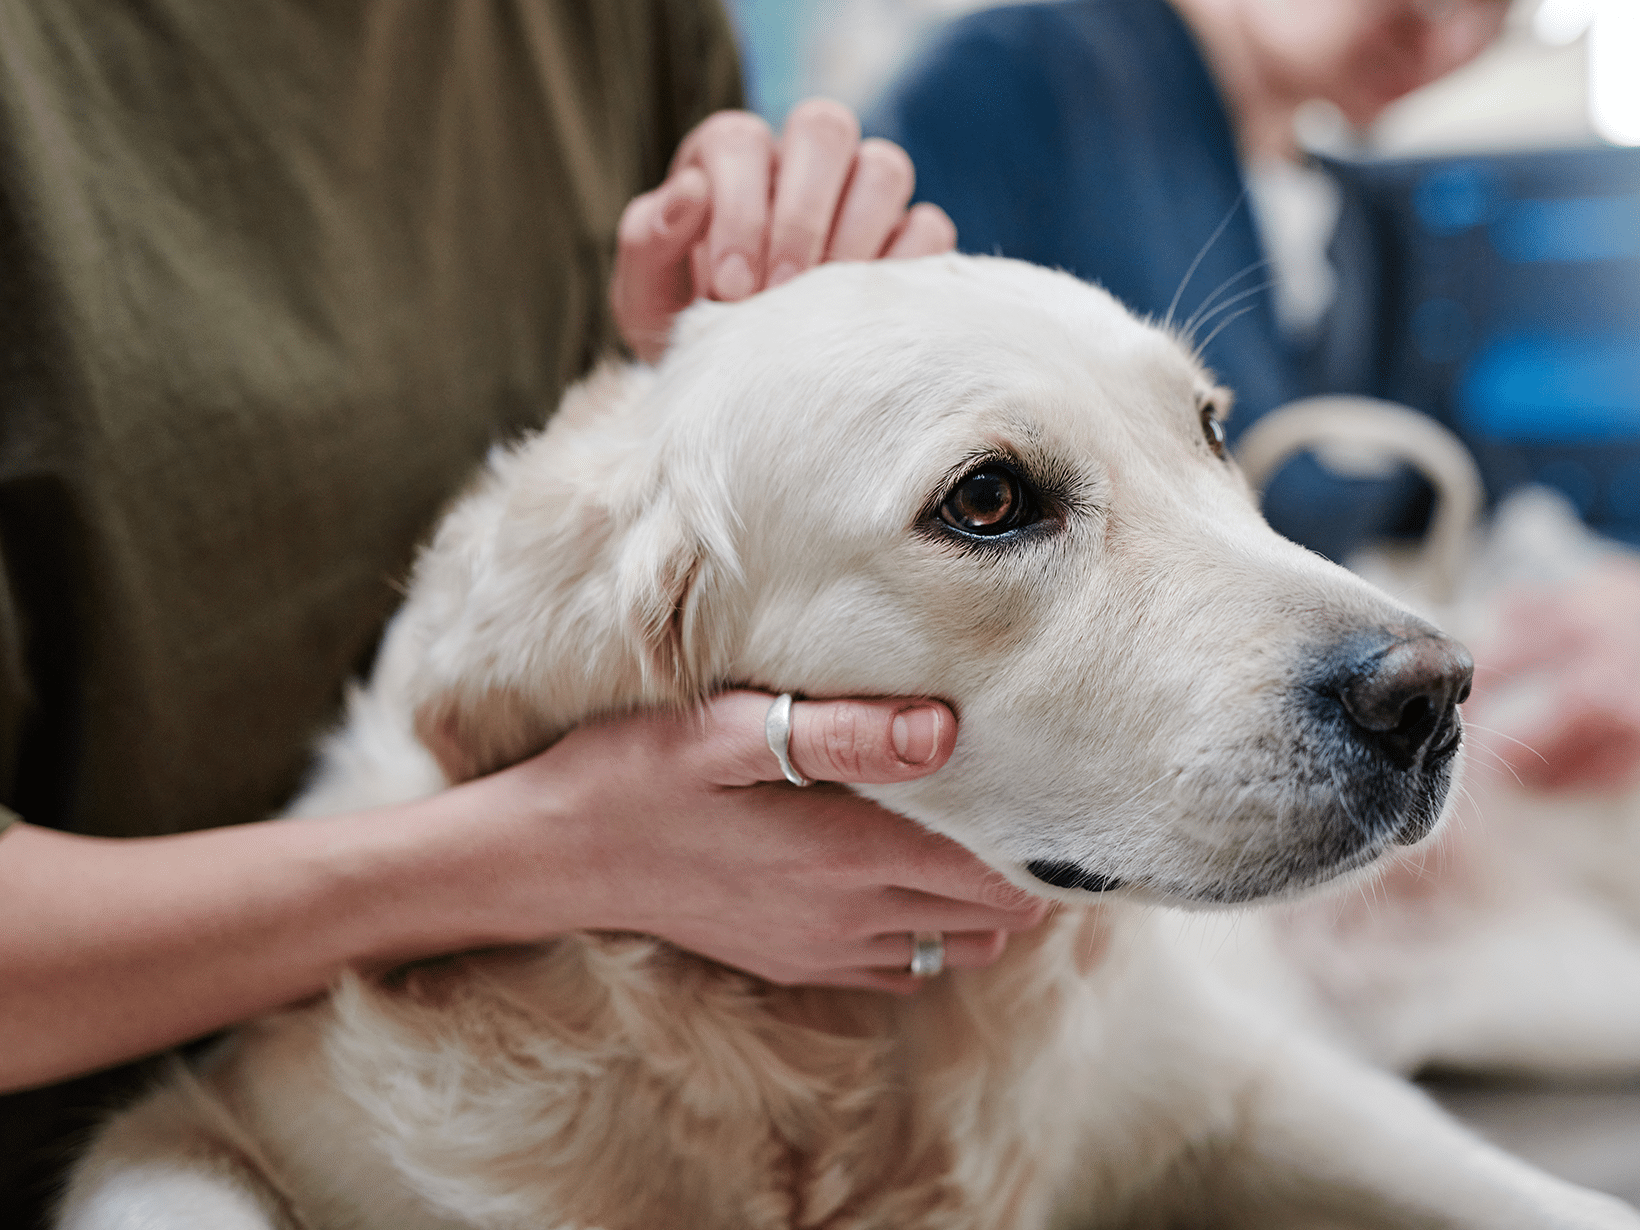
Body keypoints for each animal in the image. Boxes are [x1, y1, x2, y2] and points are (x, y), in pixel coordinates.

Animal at [54, 255, 1640, 1226]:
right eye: (988, 500)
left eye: (1204, 430)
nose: (1433, 694)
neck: (845, 1045)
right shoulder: (193, 1123)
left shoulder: (1255, 1089)